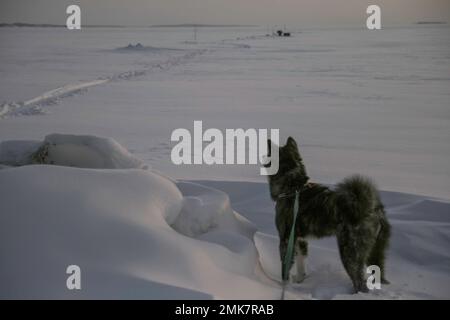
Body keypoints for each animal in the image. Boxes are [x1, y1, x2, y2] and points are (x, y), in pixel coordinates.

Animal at [268, 138, 390, 292]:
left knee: (359, 282)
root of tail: (372, 208)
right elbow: (301, 263)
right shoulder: (300, 240)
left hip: (350, 251)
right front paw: (300, 281)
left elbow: (285, 268)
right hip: (375, 251)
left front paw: (282, 287)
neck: (293, 187)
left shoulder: (285, 239)